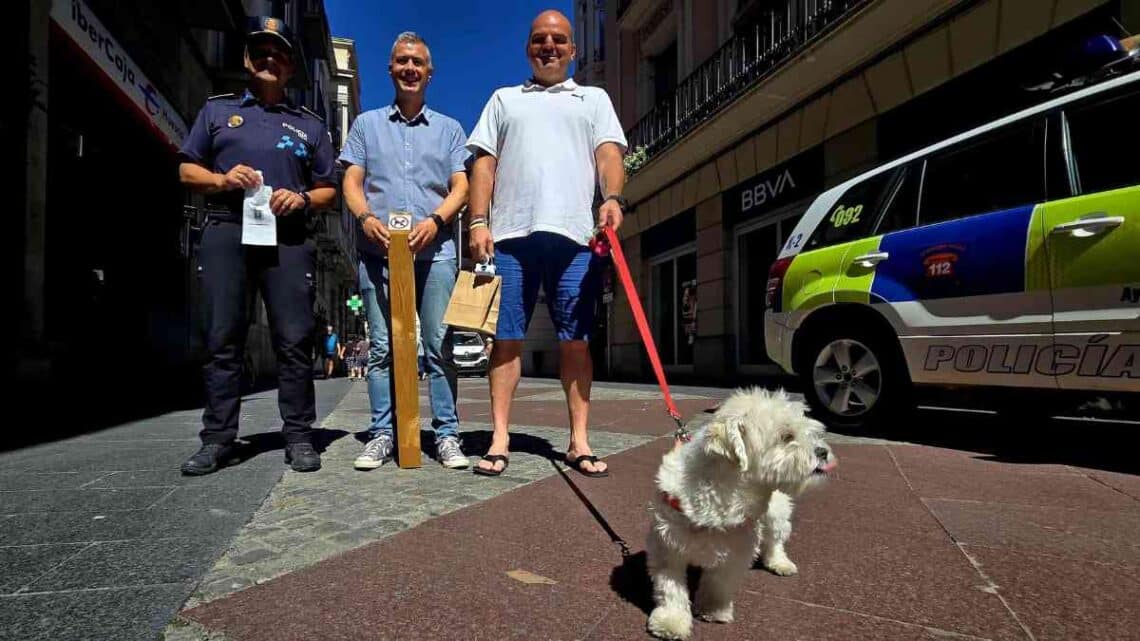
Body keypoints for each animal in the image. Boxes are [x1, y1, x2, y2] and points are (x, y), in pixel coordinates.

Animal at [647, 387, 834, 634]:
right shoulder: (667, 544)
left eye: (812, 433)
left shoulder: (737, 550)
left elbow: (719, 583)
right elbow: (671, 589)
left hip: (777, 514)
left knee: (775, 541)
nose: (823, 452)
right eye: (787, 436)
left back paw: (780, 562)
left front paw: (714, 609)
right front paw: (672, 621)